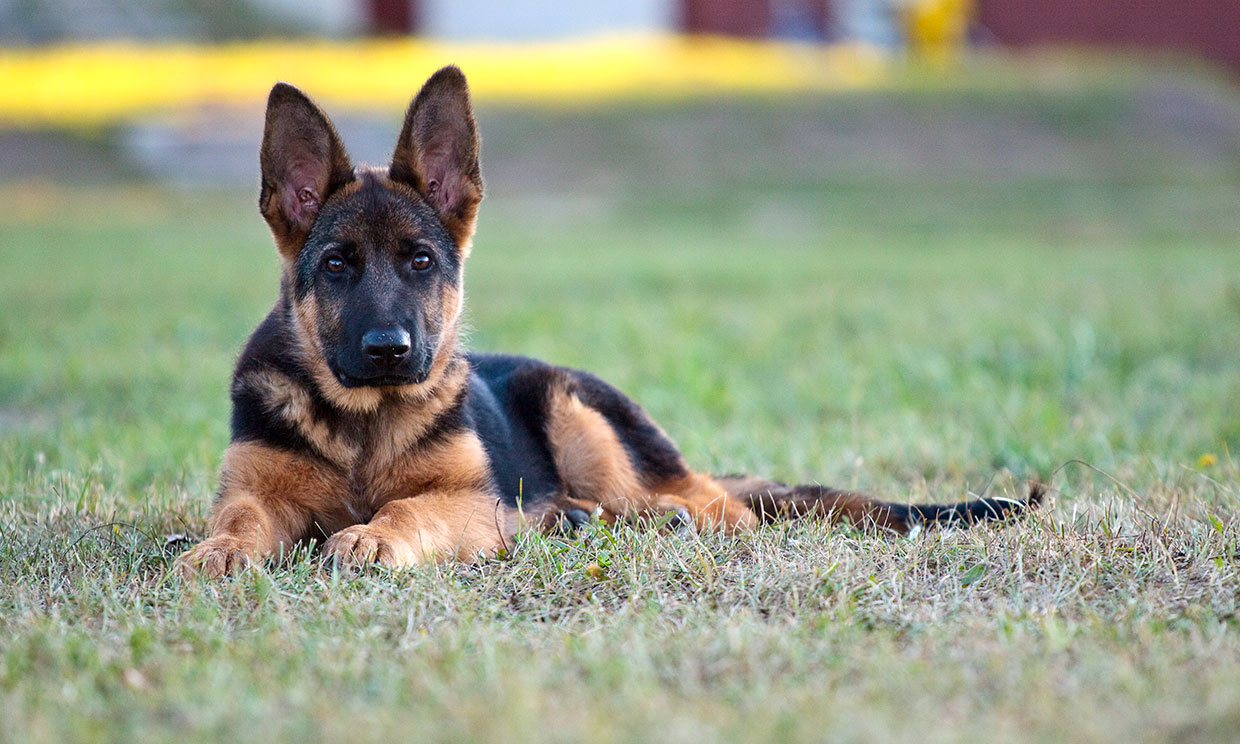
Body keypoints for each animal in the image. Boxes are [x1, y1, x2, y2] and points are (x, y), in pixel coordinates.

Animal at [177, 65, 1046, 575]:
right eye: (336, 266)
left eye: (420, 261)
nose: (389, 351)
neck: (363, 422)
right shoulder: (254, 491)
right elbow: (242, 518)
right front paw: (219, 550)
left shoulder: (475, 502)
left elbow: (411, 506)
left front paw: (374, 534)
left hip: (581, 417)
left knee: (724, 509)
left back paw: (664, 520)